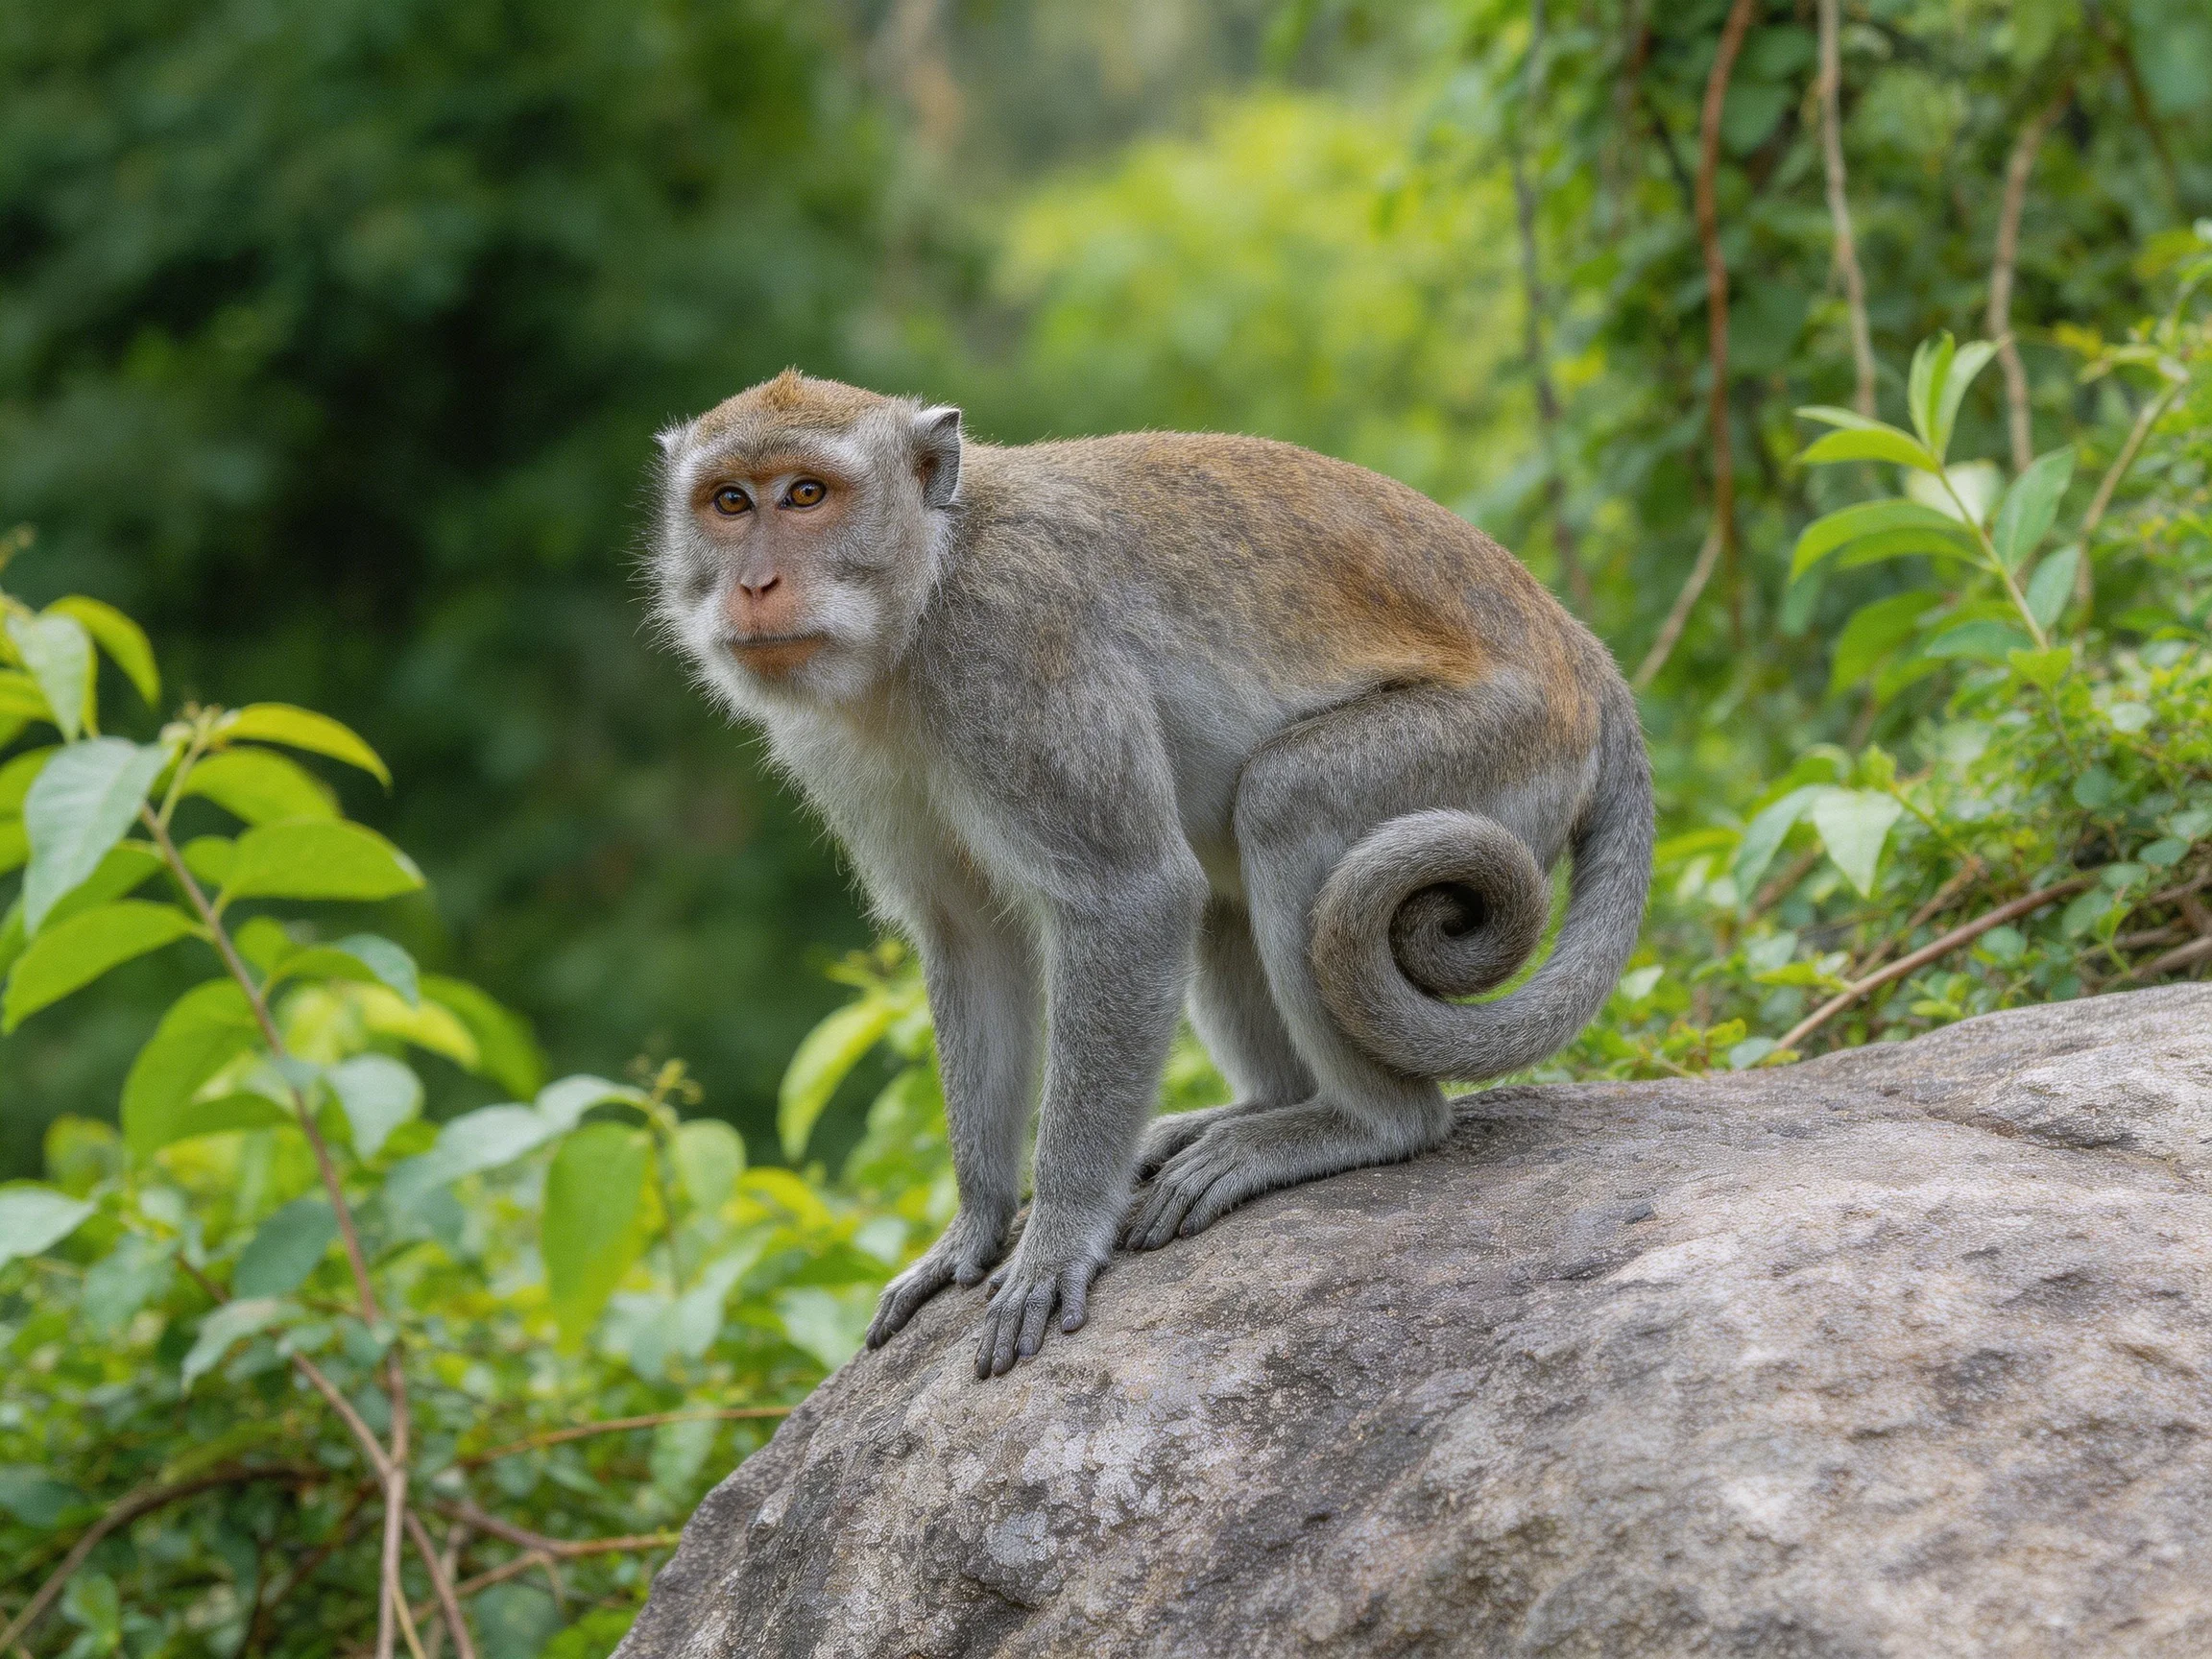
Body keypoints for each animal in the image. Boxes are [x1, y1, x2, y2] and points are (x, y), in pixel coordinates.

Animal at [648, 371, 1652, 1379]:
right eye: (730, 502)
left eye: (807, 495)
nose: (755, 584)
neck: (928, 588)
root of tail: (1588, 661)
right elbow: (971, 936)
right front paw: (975, 1225)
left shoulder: (1014, 652)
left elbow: (1129, 897)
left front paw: (1054, 1241)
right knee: (1223, 888)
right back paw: (1261, 1108)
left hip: (1498, 749)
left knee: (1286, 803)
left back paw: (1364, 1123)